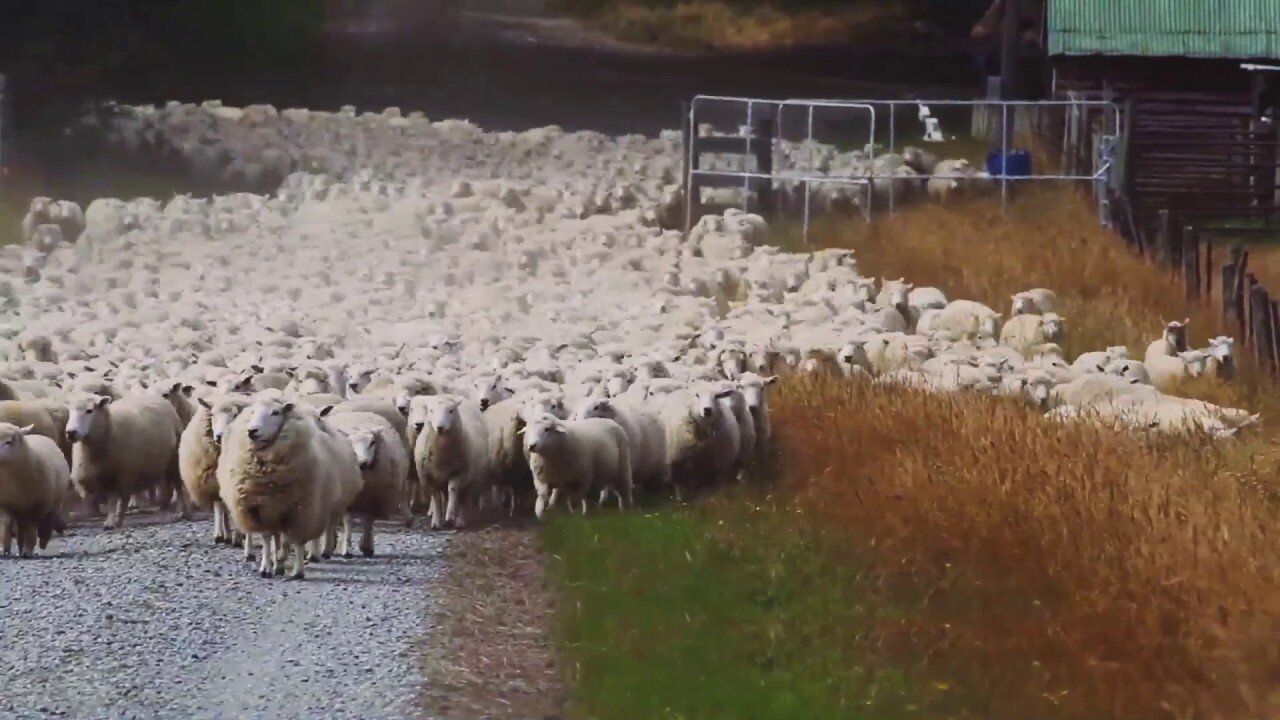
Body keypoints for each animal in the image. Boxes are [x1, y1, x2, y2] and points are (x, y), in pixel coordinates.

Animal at [0, 420, 73, 556]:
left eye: (9, 441)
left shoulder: (37, 505)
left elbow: (31, 527)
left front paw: (28, 549)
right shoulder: (4, 503)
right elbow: (5, 523)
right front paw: (4, 548)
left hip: (52, 502)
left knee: (47, 521)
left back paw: (41, 542)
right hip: (22, 508)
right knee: (22, 525)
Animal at [64, 392, 183, 527]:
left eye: (89, 410)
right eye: (69, 411)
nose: (70, 432)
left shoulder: (124, 475)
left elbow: (117, 500)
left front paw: (115, 521)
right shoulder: (105, 478)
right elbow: (110, 502)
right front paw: (112, 519)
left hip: (174, 461)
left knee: (179, 487)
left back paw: (182, 511)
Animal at [216, 392, 360, 576]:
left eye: (275, 412)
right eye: (253, 412)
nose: (252, 431)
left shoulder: (301, 510)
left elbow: (296, 540)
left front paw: (297, 570)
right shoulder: (259, 508)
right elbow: (267, 539)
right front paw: (266, 567)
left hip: (318, 507)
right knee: (278, 538)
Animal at [325, 409, 409, 556]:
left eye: (372, 442)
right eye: (350, 443)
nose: (362, 463)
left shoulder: (374, 498)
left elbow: (369, 520)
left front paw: (366, 546)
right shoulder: (349, 500)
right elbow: (348, 521)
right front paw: (347, 548)